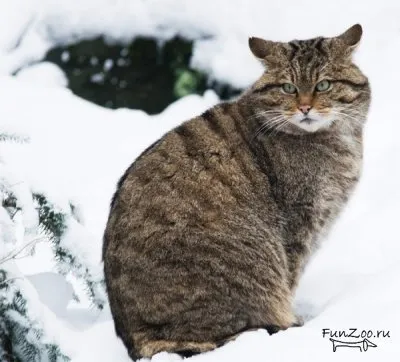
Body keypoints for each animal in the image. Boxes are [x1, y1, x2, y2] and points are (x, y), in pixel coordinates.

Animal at [103, 24, 372, 360]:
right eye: (288, 87)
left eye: (323, 85)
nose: (305, 107)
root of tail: (138, 339)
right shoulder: (299, 225)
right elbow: (291, 278)